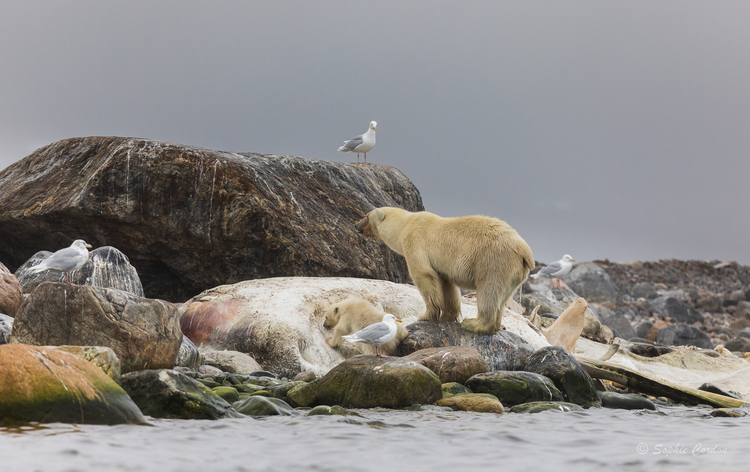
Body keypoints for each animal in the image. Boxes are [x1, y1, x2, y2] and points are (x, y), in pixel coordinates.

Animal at [356, 207, 536, 336]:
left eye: (366, 215)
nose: (356, 225)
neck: (405, 224)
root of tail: (524, 250)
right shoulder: (442, 265)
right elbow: (446, 285)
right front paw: (447, 316)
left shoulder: (415, 243)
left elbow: (424, 275)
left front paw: (426, 316)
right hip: (514, 272)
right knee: (502, 297)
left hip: (494, 260)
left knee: (489, 290)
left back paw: (474, 324)